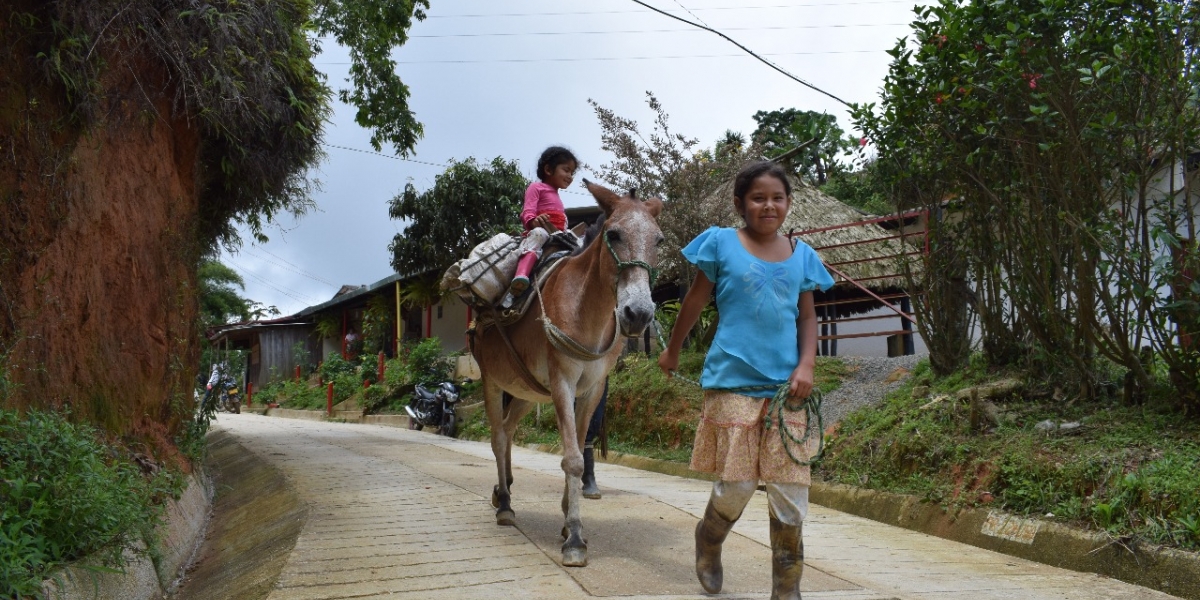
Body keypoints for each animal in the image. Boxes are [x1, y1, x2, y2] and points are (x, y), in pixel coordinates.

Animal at [470, 177, 667, 566]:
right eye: (614, 234)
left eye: (659, 240)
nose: (638, 314)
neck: (587, 309)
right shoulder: (562, 381)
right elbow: (573, 459)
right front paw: (574, 536)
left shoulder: (592, 388)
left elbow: (578, 445)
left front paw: (567, 518)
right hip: (492, 382)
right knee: (498, 437)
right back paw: (505, 505)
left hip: (526, 392)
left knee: (510, 430)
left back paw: (504, 487)